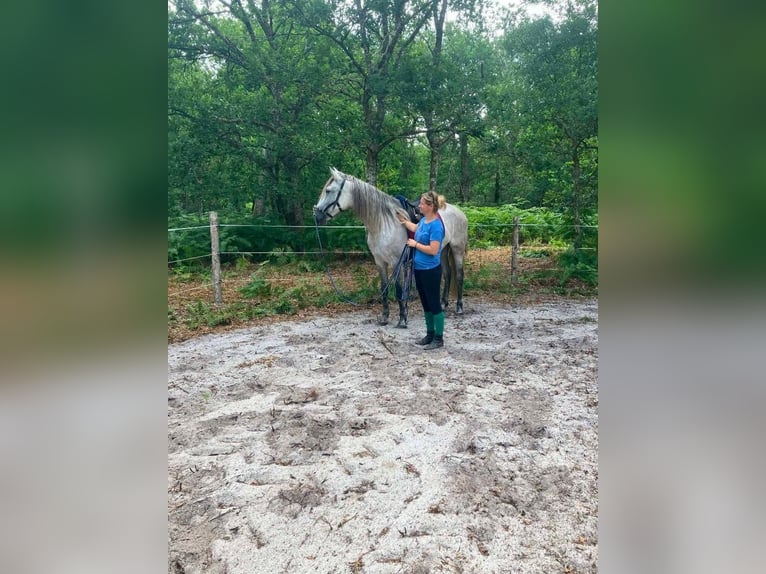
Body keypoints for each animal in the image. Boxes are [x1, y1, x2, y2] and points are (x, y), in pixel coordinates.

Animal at [312, 167, 468, 327]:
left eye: (328, 191)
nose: (316, 216)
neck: (382, 223)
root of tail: (459, 211)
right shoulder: (380, 262)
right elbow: (384, 289)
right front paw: (384, 317)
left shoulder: (395, 262)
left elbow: (398, 290)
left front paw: (402, 319)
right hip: (442, 250)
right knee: (447, 273)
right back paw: (443, 304)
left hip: (457, 249)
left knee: (459, 275)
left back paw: (459, 307)